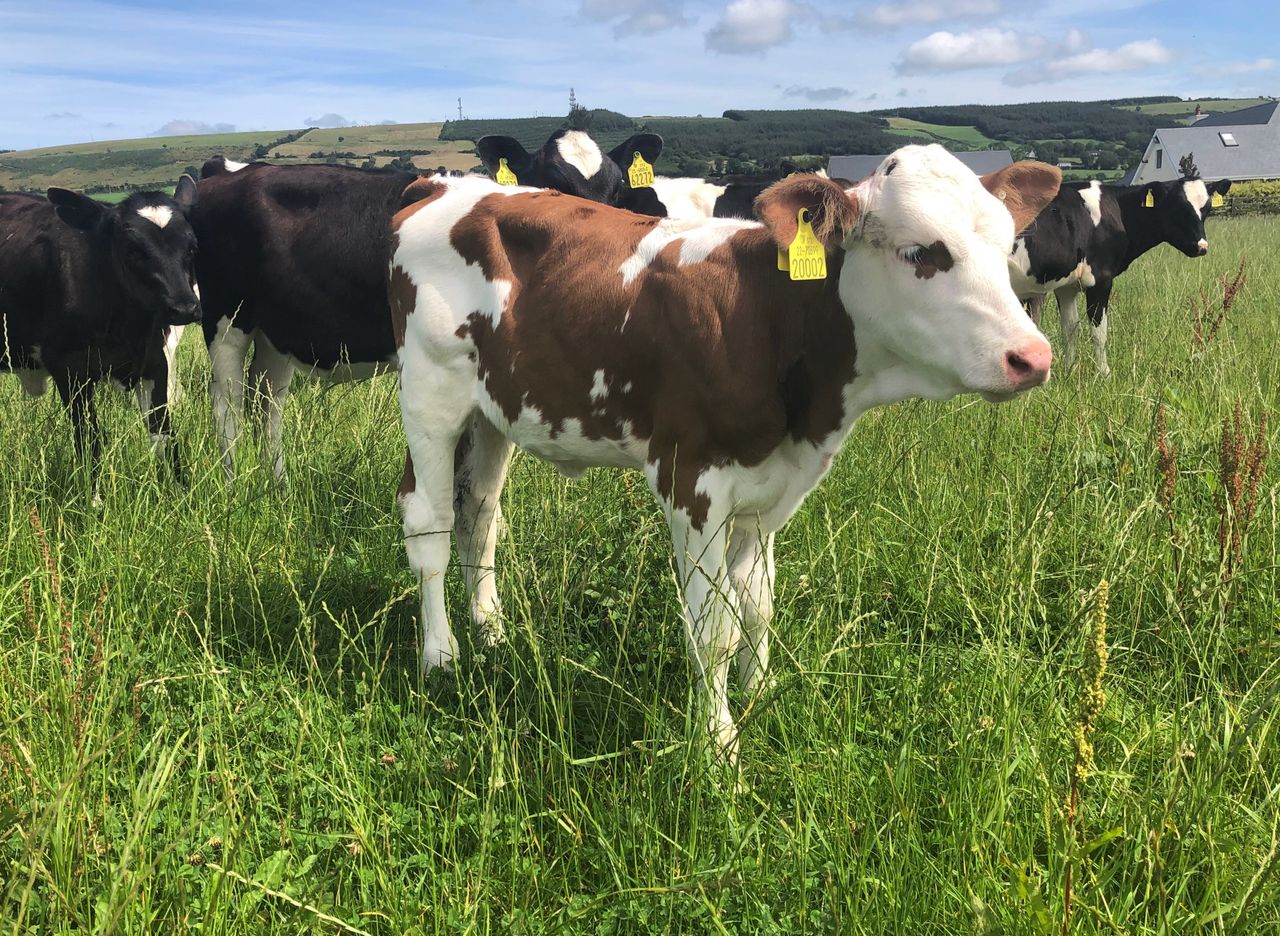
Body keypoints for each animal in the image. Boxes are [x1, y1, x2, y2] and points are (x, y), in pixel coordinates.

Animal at [0, 180, 201, 488]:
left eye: (191, 247)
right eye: (132, 249)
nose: (184, 308)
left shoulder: (155, 362)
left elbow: (164, 435)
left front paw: (180, 492)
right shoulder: (69, 369)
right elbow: (89, 440)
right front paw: (93, 497)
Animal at [197, 129, 668, 483]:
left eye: (616, 190)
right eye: (554, 188)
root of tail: (227, 172)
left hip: (277, 330)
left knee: (266, 402)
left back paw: (276, 486)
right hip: (225, 319)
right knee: (227, 406)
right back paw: (234, 488)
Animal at [387, 145, 1061, 759]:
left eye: (1007, 248)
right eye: (921, 253)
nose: (1031, 357)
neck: (769, 316)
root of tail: (444, 184)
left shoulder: (773, 488)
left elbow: (757, 604)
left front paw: (758, 693)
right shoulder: (691, 481)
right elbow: (712, 630)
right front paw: (718, 746)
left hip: (493, 412)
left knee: (481, 514)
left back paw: (491, 632)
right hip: (431, 393)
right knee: (430, 523)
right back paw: (441, 655)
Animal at [1009, 176, 1232, 377]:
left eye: (1207, 209)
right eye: (1178, 208)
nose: (1201, 246)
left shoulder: (1067, 286)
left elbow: (1070, 329)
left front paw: (1069, 371)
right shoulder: (1100, 280)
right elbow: (1099, 332)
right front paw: (1104, 375)